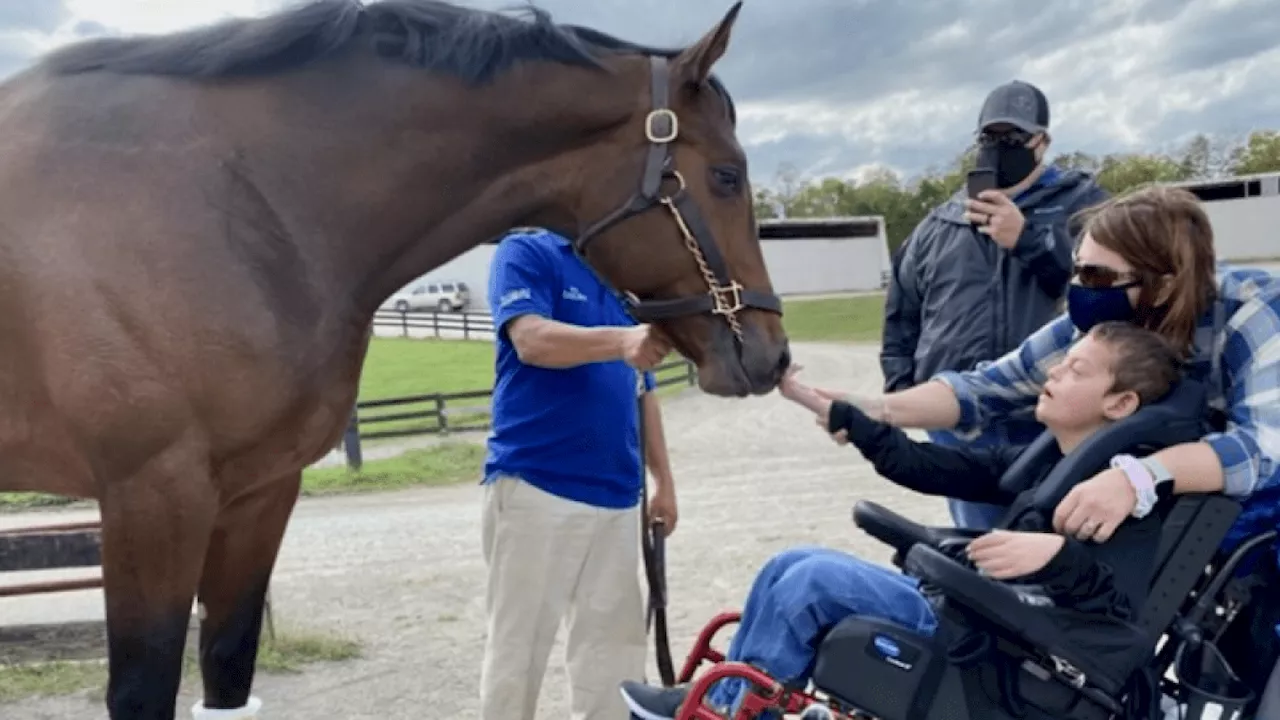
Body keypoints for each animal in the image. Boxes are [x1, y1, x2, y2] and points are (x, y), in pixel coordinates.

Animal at [0, 0, 788, 712]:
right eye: (726, 175)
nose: (772, 355)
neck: (236, 199)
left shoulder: (257, 495)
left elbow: (227, 668)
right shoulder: (154, 497)